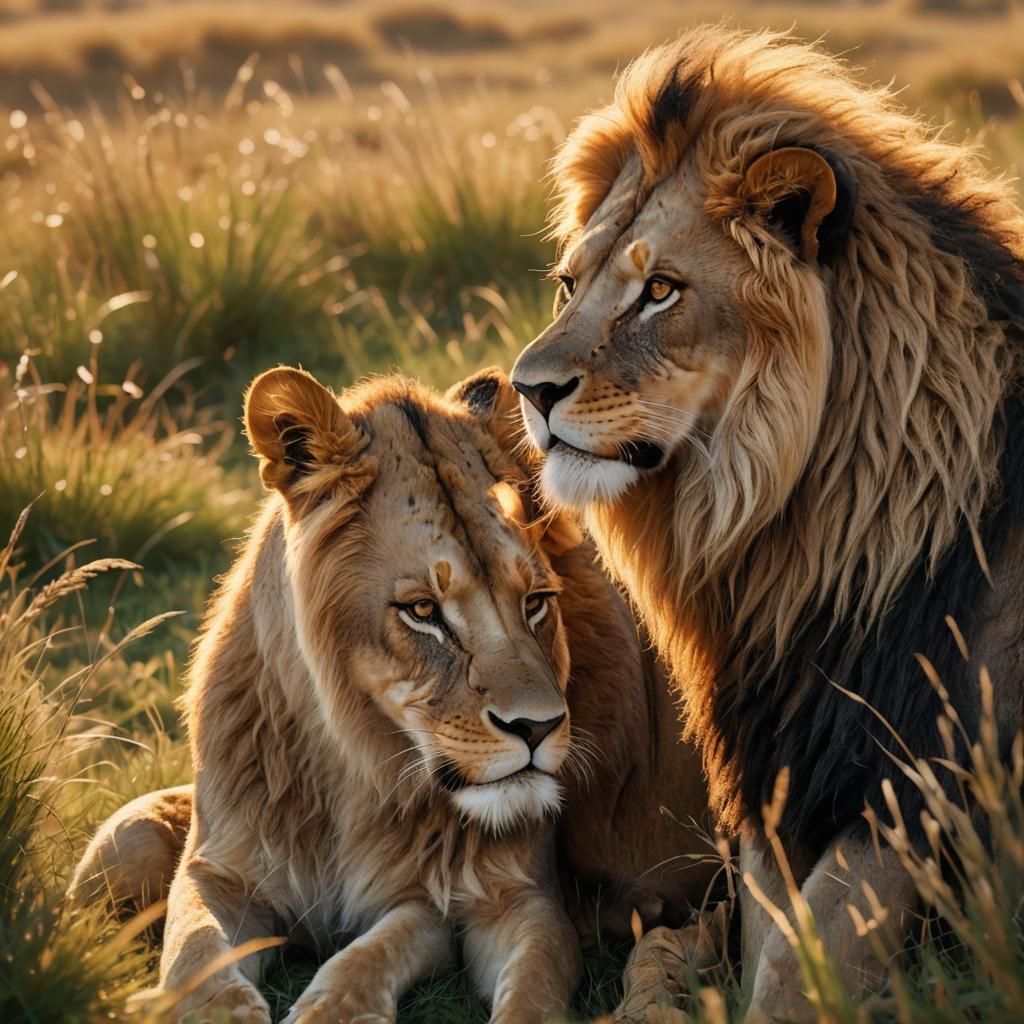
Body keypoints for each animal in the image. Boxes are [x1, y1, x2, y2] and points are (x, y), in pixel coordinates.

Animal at [69, 365, 718, 1023]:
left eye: (535, 601)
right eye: (423, 611)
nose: (537, 729)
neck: (348, 769)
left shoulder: (499, 897)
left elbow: (418, 962)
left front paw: (330, 1009)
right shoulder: (216, 871)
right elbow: (194, 953)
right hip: (122, 851)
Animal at [510, 24, 1024, 1022]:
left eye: (660, 291)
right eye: (567, 285)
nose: (528, 390)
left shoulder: (910, 783)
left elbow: (798, 969)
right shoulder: (771, 768)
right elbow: (760, 938)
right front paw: (668, 973)